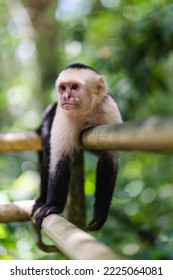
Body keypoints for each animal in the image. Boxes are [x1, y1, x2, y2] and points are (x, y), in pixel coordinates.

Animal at [32, 63, 121, 232]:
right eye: (63, 88)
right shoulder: (63, 115)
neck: (85, 112)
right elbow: (59, 159)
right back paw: (42, 199)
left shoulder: (109, 109)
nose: (65, 97)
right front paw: (53, 206)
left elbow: (109, 159)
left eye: (74, 87)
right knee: (48, 150)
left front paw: (100, 214)